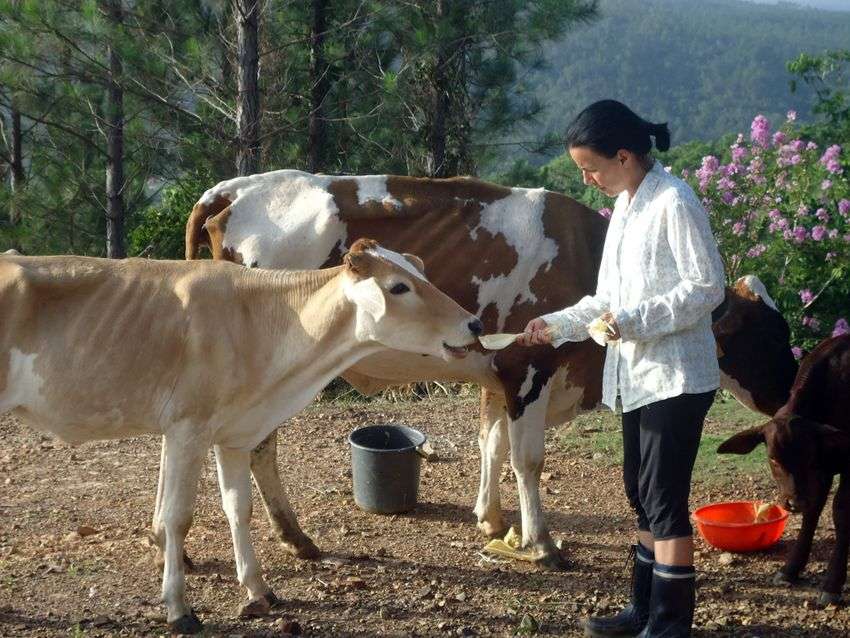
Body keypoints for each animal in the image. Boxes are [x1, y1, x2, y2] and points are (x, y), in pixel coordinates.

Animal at [0, 241, 480, 636]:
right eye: (399, 286)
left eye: (422, 274)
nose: (474, 323)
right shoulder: (187, 428)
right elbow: (177, 517)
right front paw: (179, 609)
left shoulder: (233, 434)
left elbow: (238, 508)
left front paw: (258, 589)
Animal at [167, 169, 796, 568]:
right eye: (773, 335)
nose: (789, 392)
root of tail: (232, 188)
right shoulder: (528, 369)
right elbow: (527, 458)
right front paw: (540, 542)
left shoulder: (496, 375)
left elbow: (490, 444)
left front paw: (491, 521)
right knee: (257, 448)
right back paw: (293, 537)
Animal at [716, 336, 848, 604]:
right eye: (773, 459)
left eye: (809, 457)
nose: (793, 503)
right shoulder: (823, 471)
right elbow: (813, 510)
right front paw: (791, 569)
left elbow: (840, 512)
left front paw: (832, 584)